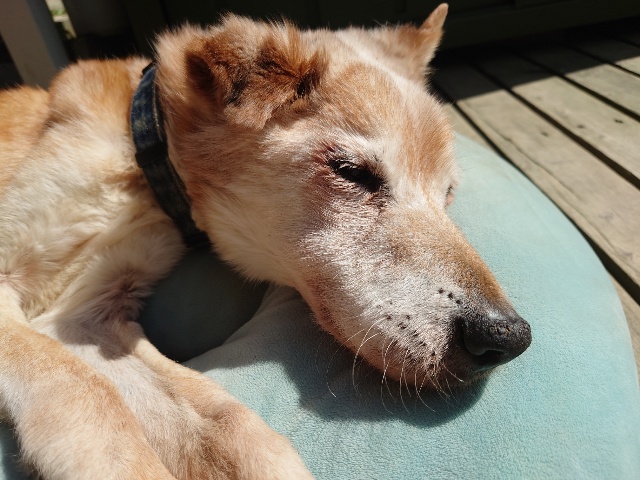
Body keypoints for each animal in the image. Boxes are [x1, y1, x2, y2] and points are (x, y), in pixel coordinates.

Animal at [0, 4, 531, 478]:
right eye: (352, 172)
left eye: (448, 194)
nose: (509, 337)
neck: (144, 159)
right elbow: (83, 391)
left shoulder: (86, 315)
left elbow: (231, 425)